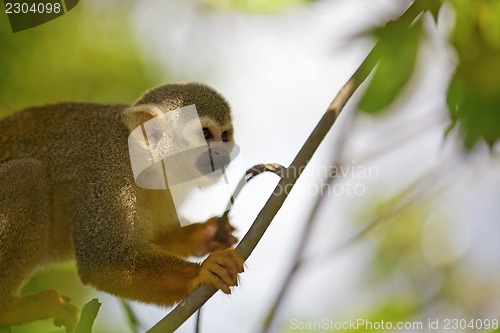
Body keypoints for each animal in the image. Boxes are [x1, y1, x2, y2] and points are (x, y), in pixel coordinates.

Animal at [0, 82, 244, 330]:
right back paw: (9, 309)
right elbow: (101, 261)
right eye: (206, 134)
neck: (144, 159)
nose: (222, 153)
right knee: (28, 176)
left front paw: (204, 235)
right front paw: (201, 271)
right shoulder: (111, 176)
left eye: (224, 136)